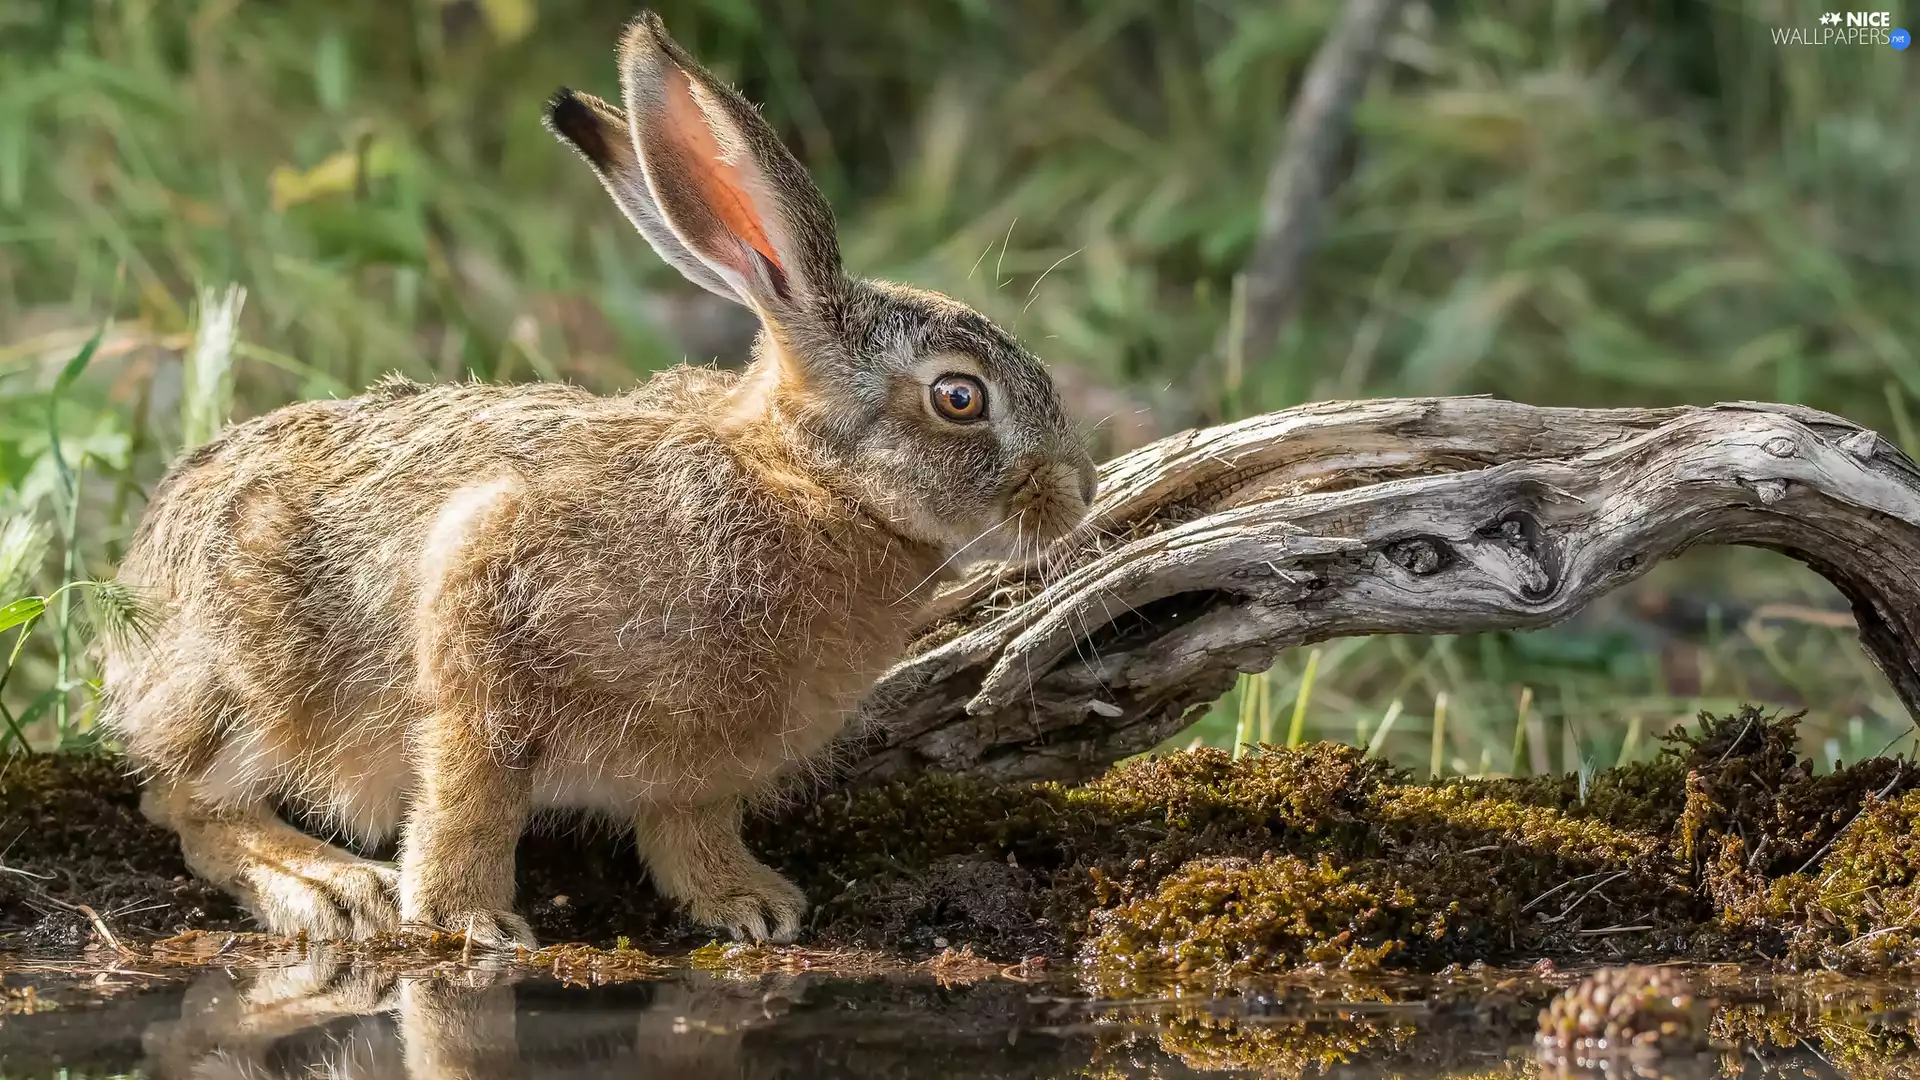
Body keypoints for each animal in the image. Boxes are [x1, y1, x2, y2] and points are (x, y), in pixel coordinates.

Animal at [99, 9, 1096, 950]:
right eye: (960, 397)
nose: (1078, 492)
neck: (803, 484)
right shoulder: (482, 600)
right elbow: (474, 790)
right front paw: (466, 919)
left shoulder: (704, 761)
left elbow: (690, 826)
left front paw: (748, 903)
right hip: (254, 688)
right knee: (186, 805)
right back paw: (332, 887)